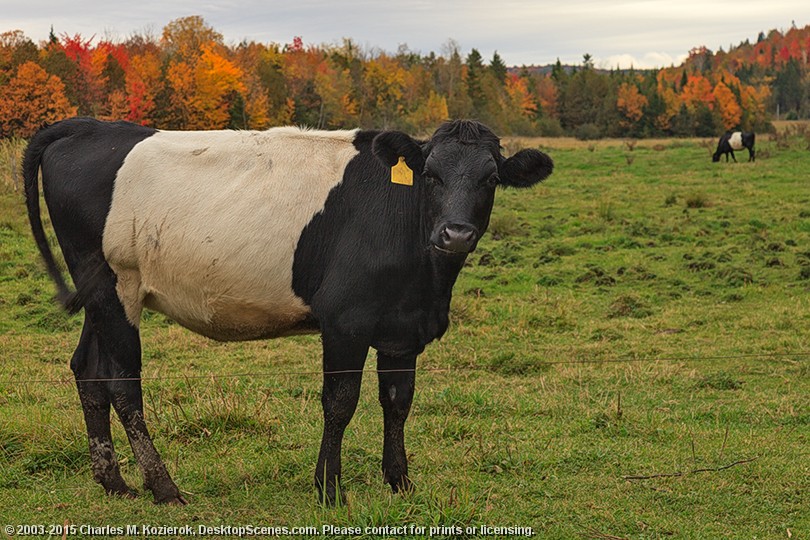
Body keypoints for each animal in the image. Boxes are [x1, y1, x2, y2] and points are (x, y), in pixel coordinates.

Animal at [26, 117, 556, 506]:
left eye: (491, 178)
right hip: (117, 288)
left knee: (87, 370)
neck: (425, 281)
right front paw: (329, 489)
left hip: (99, 295)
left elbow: (398, 401)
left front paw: (399, 482)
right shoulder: (345, 322)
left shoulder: (403, 329)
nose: (456, 234)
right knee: (122, 383)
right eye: (430, 175)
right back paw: (164, 487)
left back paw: (113, 482)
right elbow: (340, 402)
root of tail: (88, 126)